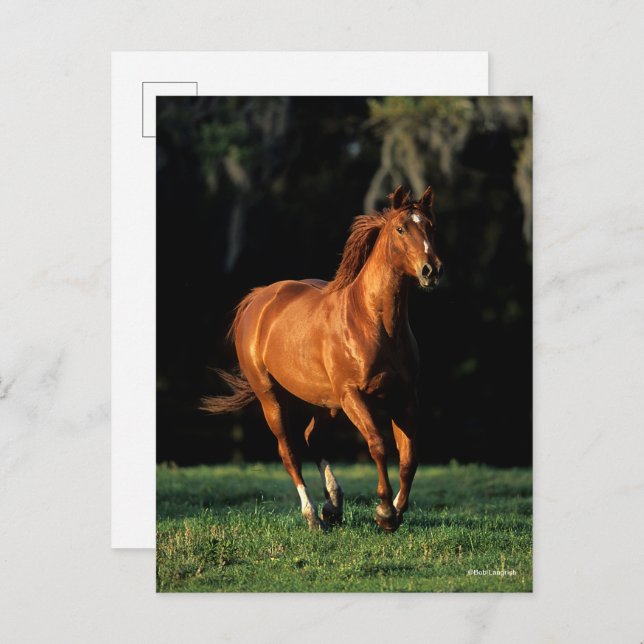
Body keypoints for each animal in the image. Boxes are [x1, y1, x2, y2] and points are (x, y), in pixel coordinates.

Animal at [202, 186, 443, 532]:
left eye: (431, 227)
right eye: (401, 229)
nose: (431, 270)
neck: (373, 322)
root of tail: (259, 298)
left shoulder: (405, 396)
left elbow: (410, 456)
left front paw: (396, 511)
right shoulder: (353, 394)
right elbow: (378, 445)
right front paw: (384, 512)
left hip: (325, 403)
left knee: (311, 438)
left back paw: (334, 505)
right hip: (272, 397)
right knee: (289, 450)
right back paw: (313, 515)